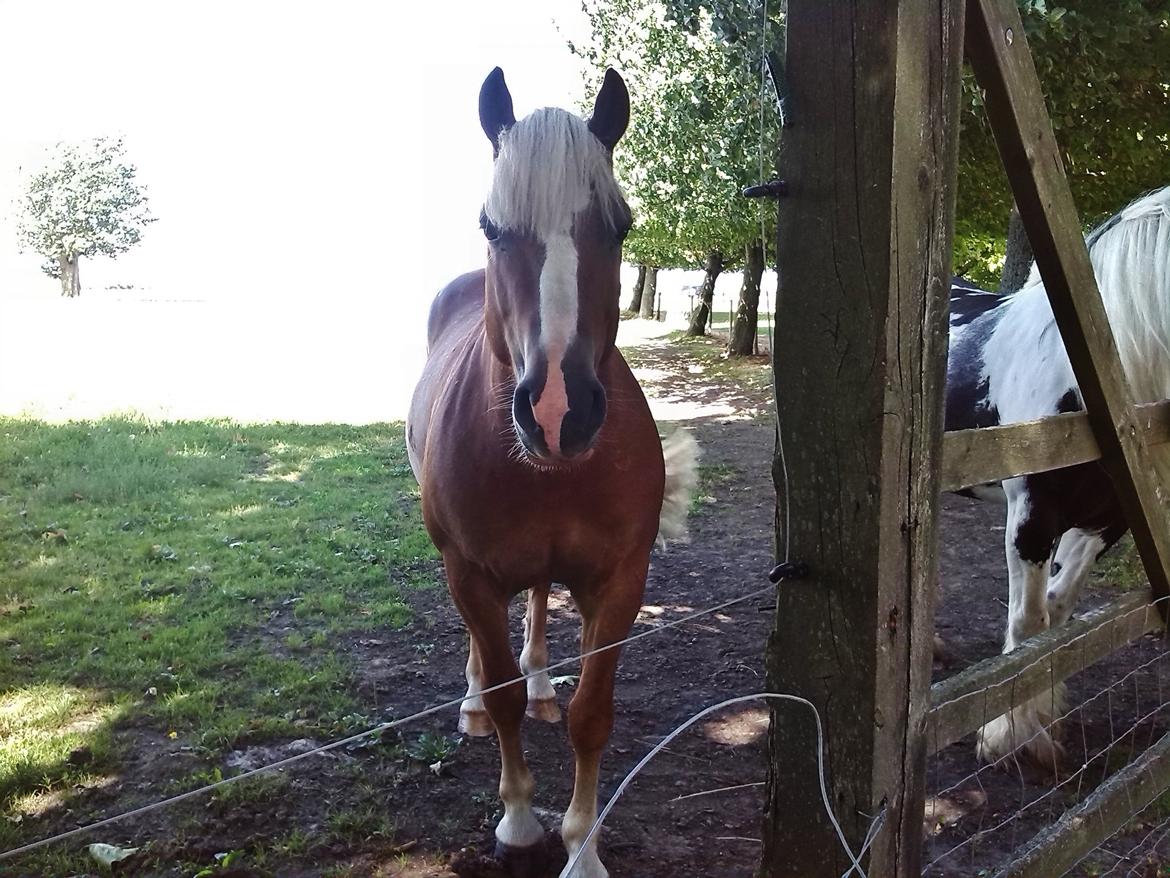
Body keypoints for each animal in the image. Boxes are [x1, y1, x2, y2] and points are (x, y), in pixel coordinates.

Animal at [407, 70, 692, 878]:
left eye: (620, 227)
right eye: (492, 227)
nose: (560, 410)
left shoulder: (620, 580)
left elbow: (591, 715)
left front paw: (582, 847)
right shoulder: (469, 572)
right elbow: (501, 692)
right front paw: (518, 822)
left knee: (535, 605)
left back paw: (540, 682)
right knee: (489, 655)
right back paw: (474, 701)